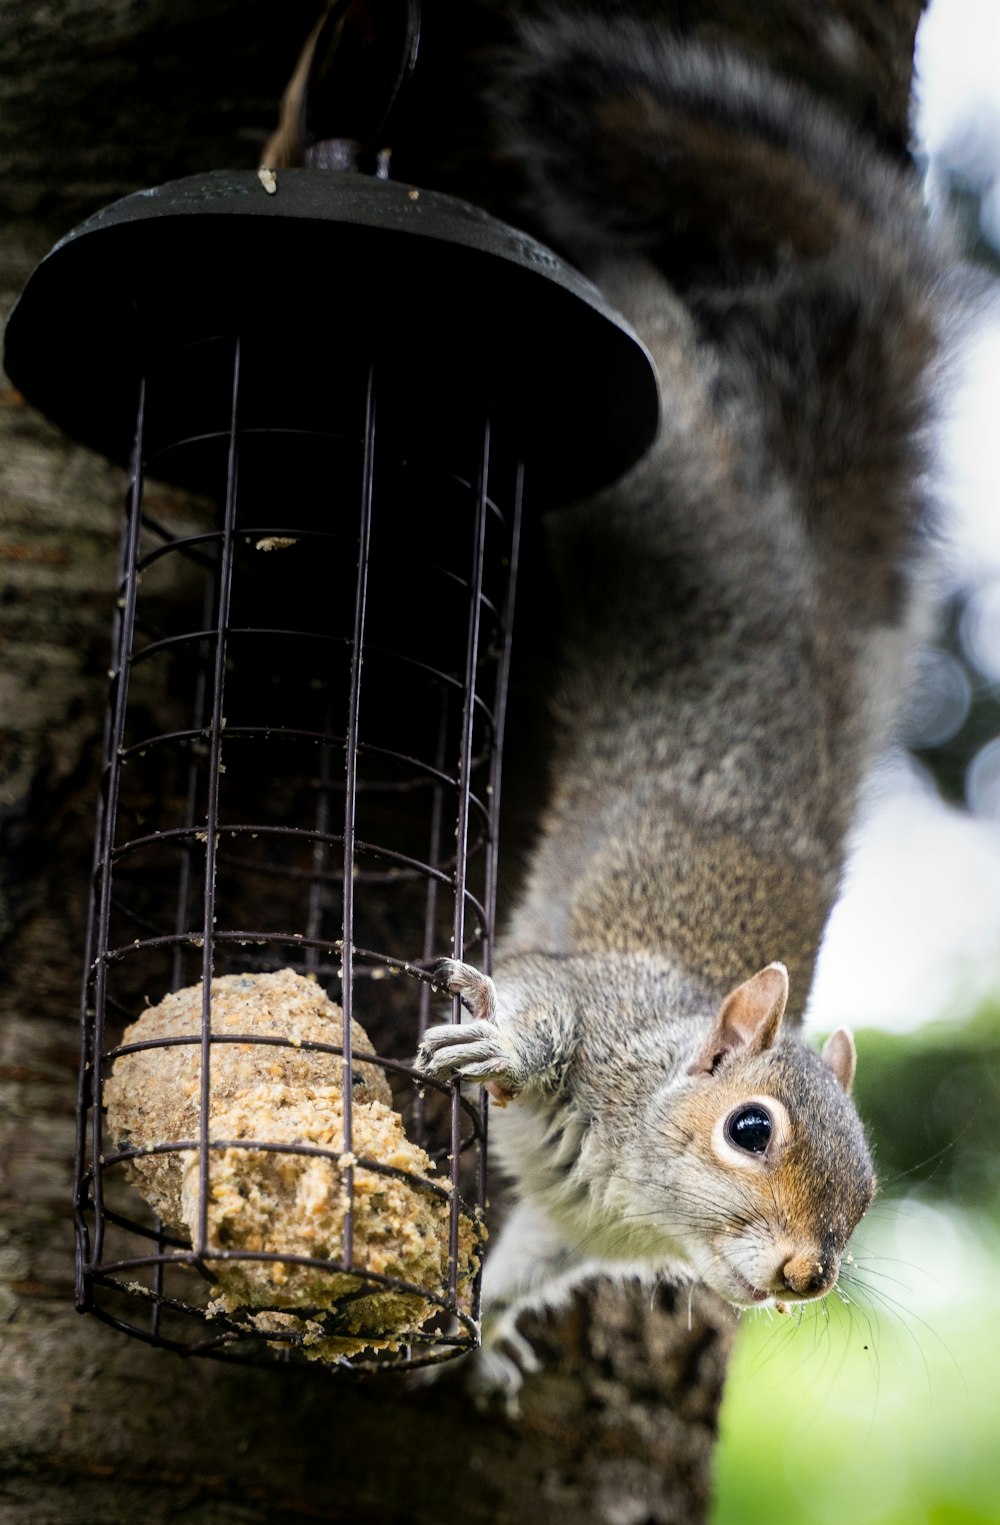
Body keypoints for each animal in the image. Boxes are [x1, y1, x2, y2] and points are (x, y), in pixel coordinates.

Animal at [417, 5, 951, 1390]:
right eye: (749, 1129)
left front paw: (483, 1337)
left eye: (868, 1190)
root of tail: (801, 612)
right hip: (668, 480)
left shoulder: (574, 1228)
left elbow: (526, 1265)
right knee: (664, 356)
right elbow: (536, 995)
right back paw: (608, 269)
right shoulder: (594, 997)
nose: (809, 1275)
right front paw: (495, 1047)